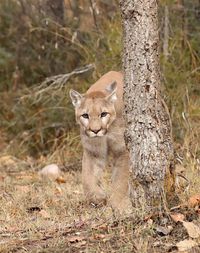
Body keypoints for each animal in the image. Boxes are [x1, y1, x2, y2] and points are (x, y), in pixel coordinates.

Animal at [70, 71, 130, 210]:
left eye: (103, 114)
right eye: (85, 115)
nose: (95, 130)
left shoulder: (122, 151)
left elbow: (121, 179)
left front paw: (118, 204)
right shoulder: (93, 151)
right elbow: (87, 177)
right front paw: (98, 197)